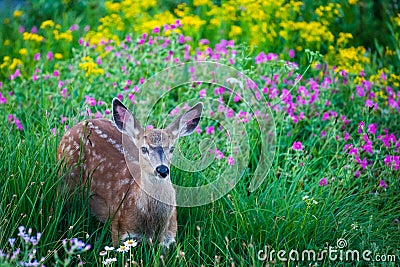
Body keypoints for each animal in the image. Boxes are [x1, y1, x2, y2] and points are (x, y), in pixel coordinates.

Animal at [57, 99, 203, 249]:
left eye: (172, 148)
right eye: (144, 148)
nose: (162, 170)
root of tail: (79, 124)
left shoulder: (169, 237)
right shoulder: (119, 229)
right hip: (65, 178)